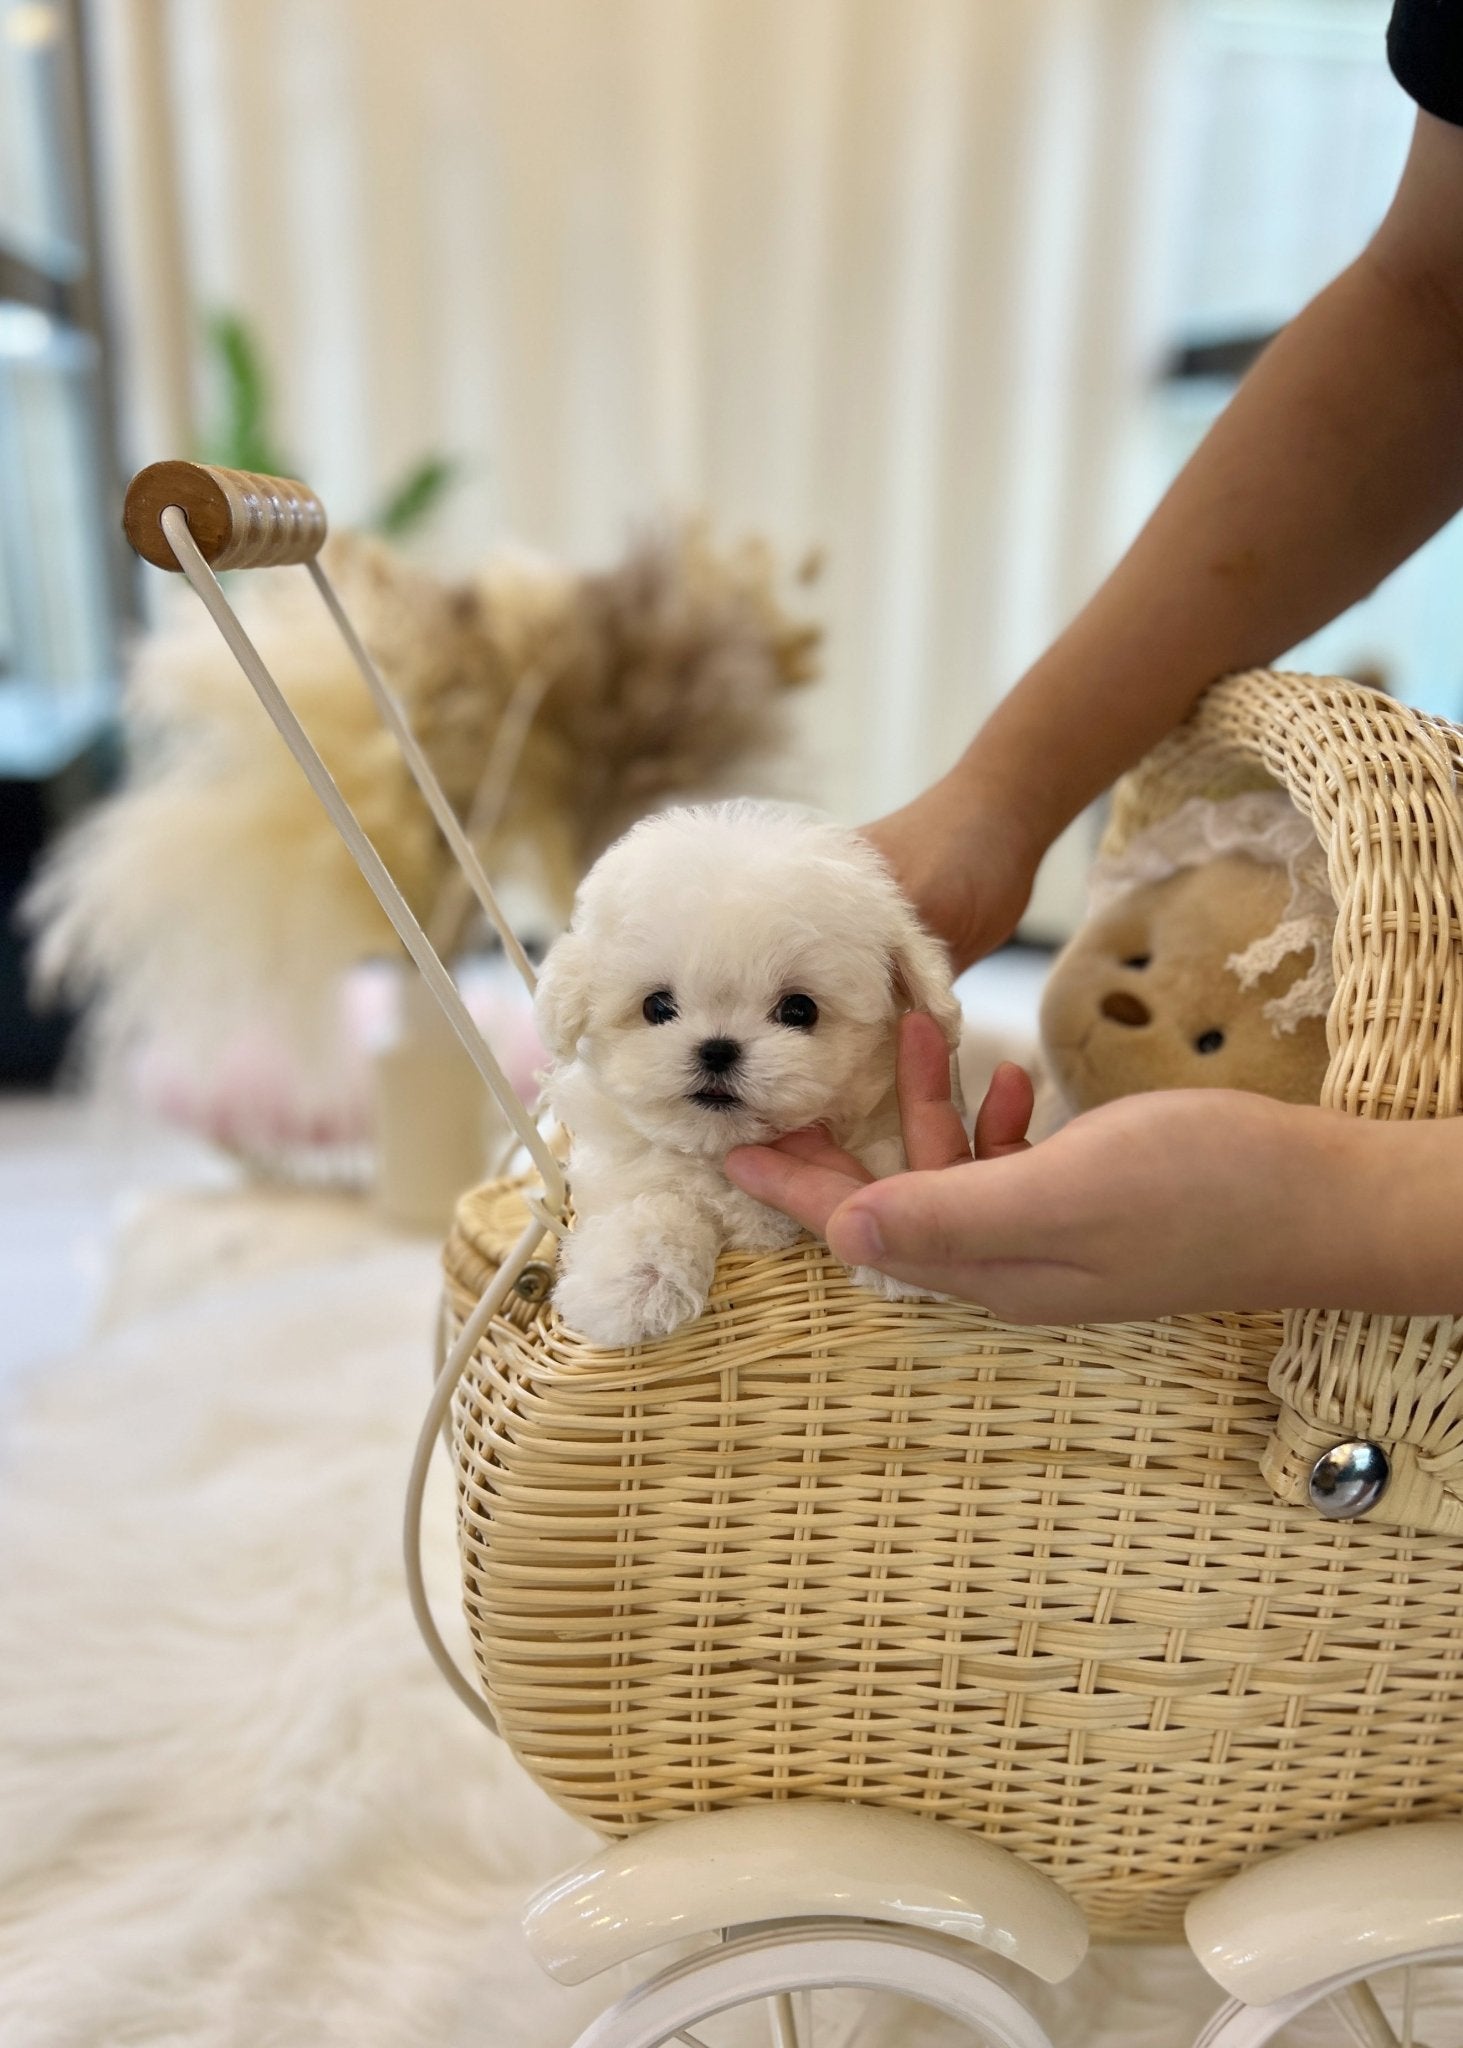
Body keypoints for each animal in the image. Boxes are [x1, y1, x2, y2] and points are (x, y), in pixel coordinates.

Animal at [528, 790, 963, 1351]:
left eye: (799, 1010)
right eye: (656, 1007)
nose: (717, 1050)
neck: (724, 1148)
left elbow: (883, 1156)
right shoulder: (626, 1173)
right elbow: (652, 1203)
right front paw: (636, 1281)